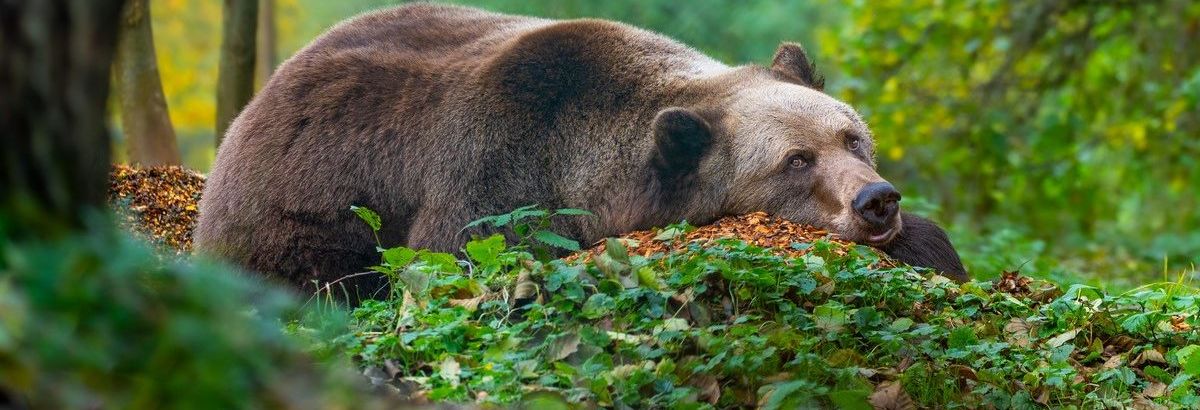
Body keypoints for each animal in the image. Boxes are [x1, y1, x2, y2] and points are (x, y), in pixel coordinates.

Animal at [196, 4, 964, 297]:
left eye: (850, 136)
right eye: (794, 161)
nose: (874, 200)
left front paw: (929, 244)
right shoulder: (494, 177)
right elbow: (454, 254)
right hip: (305, 213)